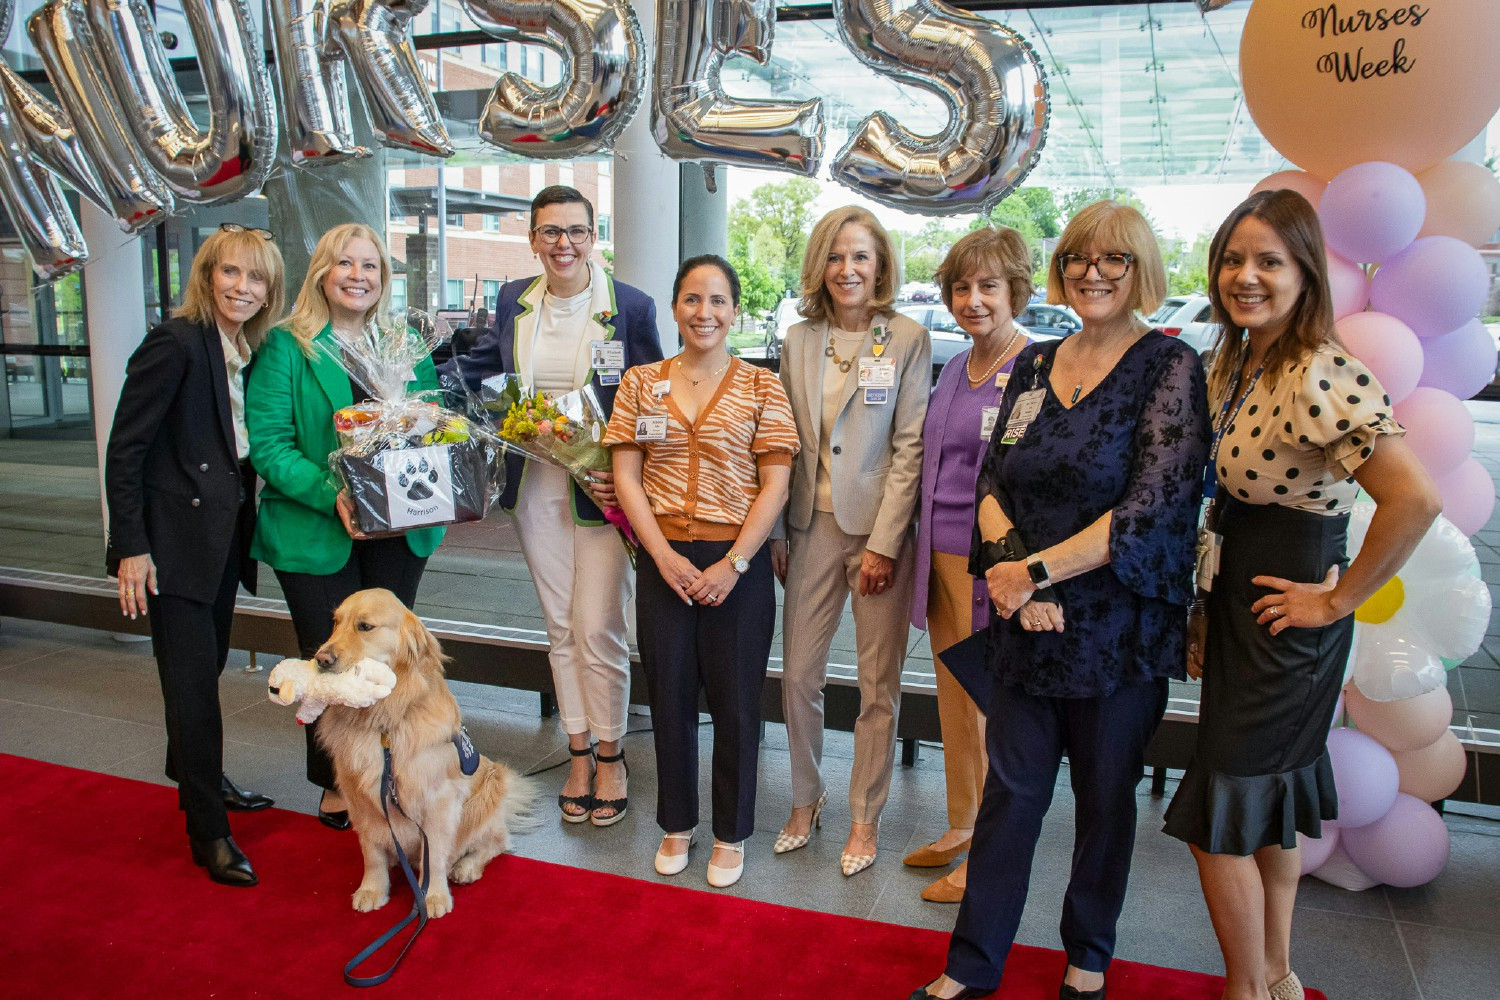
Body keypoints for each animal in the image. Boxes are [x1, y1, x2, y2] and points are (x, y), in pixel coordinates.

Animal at [310, 590, 534, 917]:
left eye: (365, 626)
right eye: (336, 622)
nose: (321, 659)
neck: (383, 723)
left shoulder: (437, 800)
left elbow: (434, 855)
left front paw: (433, 896)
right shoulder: (360, 799)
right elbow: (372, 852)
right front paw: (372, 889)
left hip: (488, 791)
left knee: (495, 842)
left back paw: (466, 867)